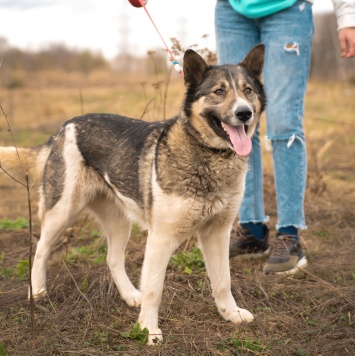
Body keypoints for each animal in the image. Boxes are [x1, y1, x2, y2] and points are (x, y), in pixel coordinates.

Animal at [0, 44, 268, 344]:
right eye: (219, 91)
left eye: (248, 90)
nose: (244, 113)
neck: (209, 157)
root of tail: (63, 127)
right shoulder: (161, 238)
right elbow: (154, 289)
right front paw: (148, 330)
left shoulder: (217, 233)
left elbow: (223, 281)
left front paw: (230, 314)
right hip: (62, 212)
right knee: (40, 251)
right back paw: (37, 292)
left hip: (119, 222)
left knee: (113, 259)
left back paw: (129, 295)